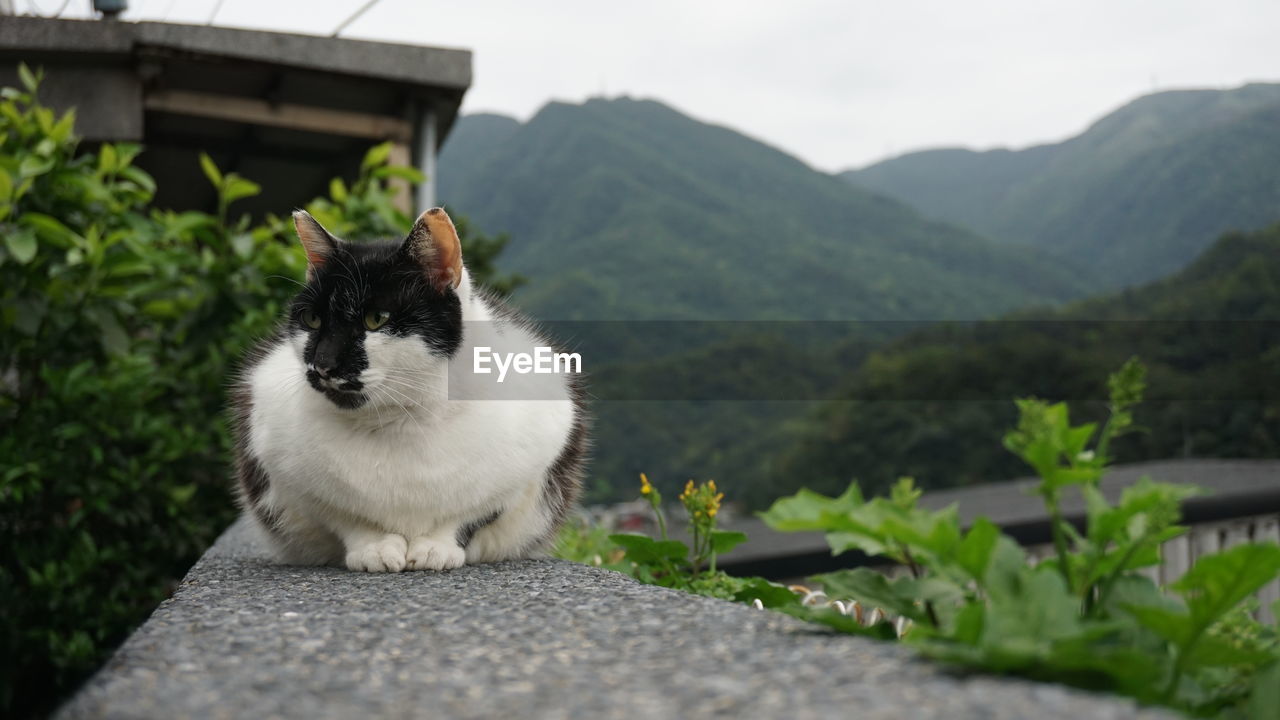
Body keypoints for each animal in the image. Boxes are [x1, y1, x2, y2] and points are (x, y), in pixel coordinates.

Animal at [231, 207, 588, 571]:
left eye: (376, 319)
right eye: (312, 320)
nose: (322, 364)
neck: (399, 421)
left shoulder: (534, 456)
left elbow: (472, 515)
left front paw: (435, 547)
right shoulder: (284, 467)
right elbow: (344, 517)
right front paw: (374, 547)